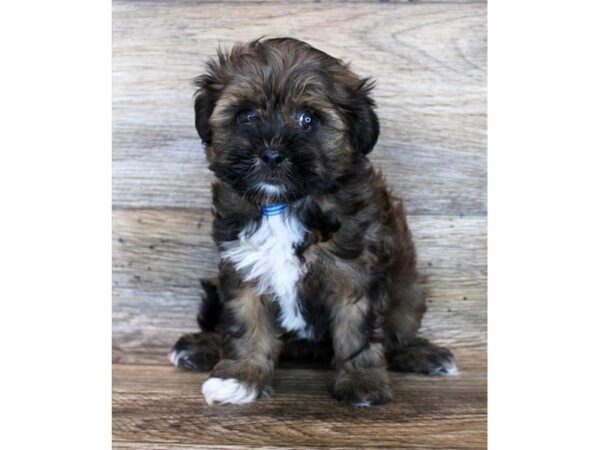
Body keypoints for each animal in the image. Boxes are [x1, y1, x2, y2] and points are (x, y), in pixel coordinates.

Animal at [171, 37, 458, 406]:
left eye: (308, 119)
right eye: (246, 116)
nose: (272, 154)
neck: (285, 204)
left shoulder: (354, 272)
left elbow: (357, 329)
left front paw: (363, 381)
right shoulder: (243, 266)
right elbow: (246, 324)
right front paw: (240, 377)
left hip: (409, 291)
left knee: (398, 332)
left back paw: (421, 354)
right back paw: (199, 347)